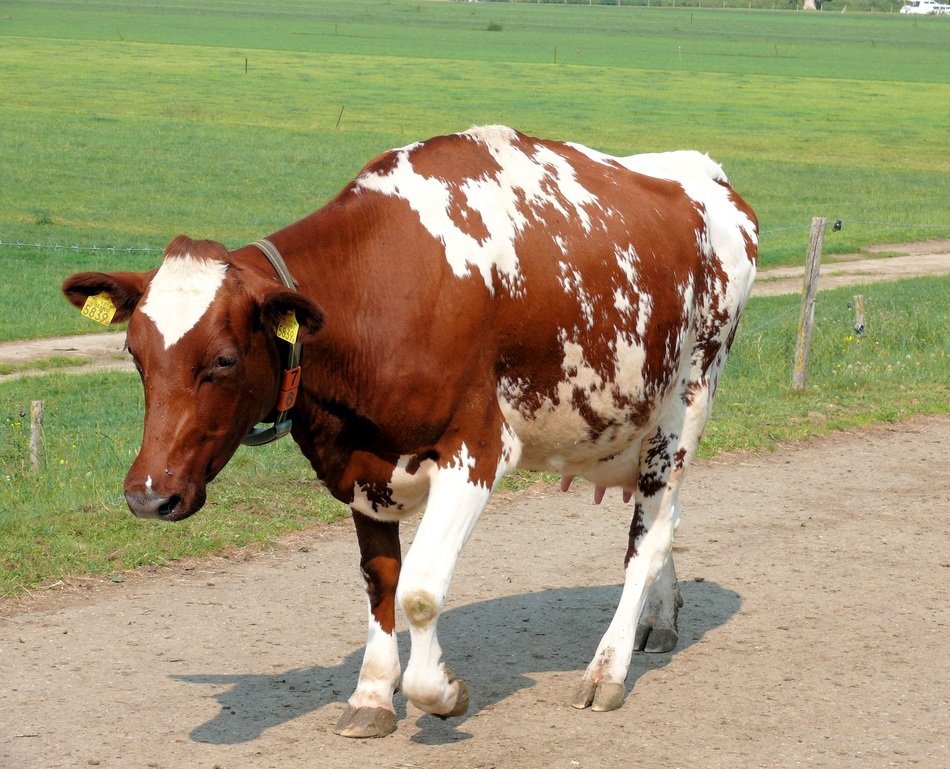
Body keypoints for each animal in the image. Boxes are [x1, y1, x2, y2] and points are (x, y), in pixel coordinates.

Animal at [63, 125, 757, 738]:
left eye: (225, 360)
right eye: (134, 354)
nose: (148, 495)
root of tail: (701, 171)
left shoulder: (476, 450)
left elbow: (421, 591)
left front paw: (440, 692)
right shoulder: (361, 465)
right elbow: (383, 584)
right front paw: (372, 695)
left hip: (685, 403)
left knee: (647, 537)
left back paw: (607, 669)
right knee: (663, 523)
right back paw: (658, 622)